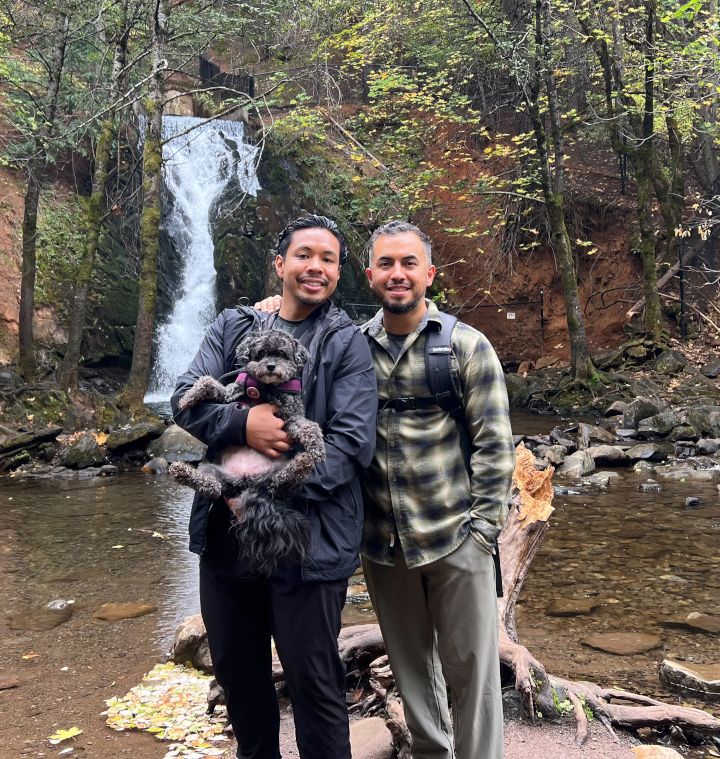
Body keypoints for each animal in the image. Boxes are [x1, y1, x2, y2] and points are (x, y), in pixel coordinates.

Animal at [170, 329, 326, 575]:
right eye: (260, 353)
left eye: (282, 354)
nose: (270, 366)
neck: (265, 389)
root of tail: (248, 482)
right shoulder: (231, 393)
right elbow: (208, 382)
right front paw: (188, 397)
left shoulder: (291, 417)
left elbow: (309, 426)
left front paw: (317, 447)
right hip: (212, 470)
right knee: (211, 487)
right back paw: (182, 471)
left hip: (279, 474)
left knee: (283, 482)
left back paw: (303, 462)